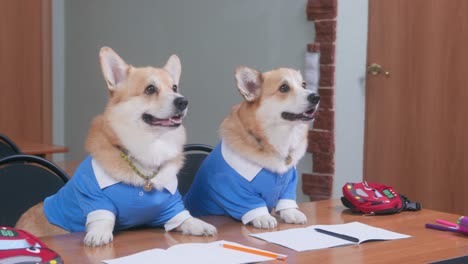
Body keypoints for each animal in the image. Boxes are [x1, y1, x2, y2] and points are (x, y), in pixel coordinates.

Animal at [15, 46, 217, 246]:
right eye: (150, 89)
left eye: (174, 87)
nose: (183, 101)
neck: (150, 146)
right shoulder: (94, 198)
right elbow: (104, 218)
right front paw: (98, 234)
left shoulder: (170, 206)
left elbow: (184, 218)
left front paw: (200, 224)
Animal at [185, 66, 320, 229]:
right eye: (284, 88)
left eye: (304, 85)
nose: (316, 97)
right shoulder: (232, 188)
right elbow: (252, 205)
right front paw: (263, 217)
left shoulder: (289, 182)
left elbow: (286, 201)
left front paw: (292, 213)